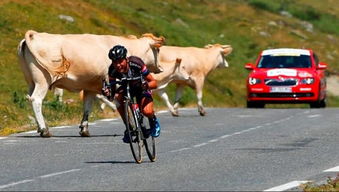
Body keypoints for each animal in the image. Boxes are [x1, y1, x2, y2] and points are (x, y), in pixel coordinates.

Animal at [17, 29, 165, 136]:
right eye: (157, 50)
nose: (161, 68)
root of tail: (34, 34)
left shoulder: (90, 88)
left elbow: (87, 107)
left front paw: (84, 129)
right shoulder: (117, 85)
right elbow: (124, 107)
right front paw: (132, 127)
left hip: (31, 81)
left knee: (30, 98)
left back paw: (40, 127)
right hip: (42, 80)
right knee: (36, 100)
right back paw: (44, 130)